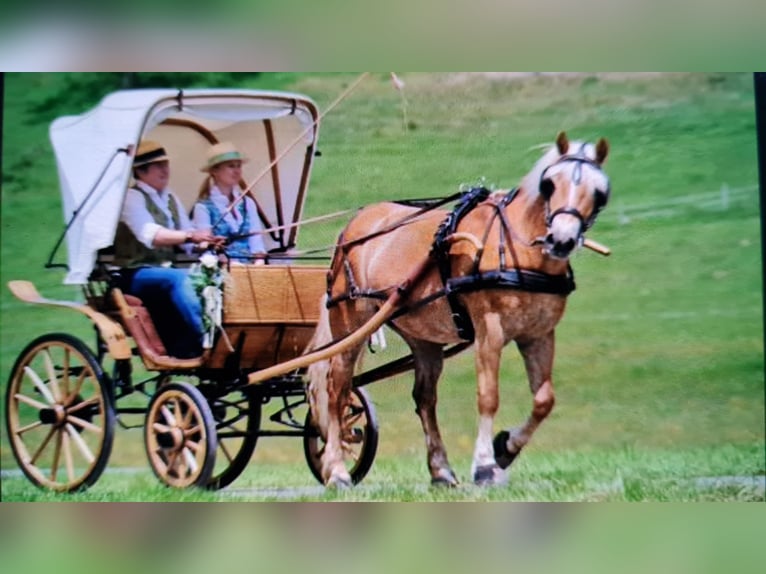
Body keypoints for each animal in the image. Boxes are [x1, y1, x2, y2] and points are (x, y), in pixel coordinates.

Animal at [306, 133, 612, 488]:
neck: (517, 247)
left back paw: (440, 470)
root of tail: (352, 227)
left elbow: (544, 400)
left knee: (424, 398)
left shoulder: (539, 335)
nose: (561, 240)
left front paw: (505, 448)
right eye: (549, 184)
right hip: (351, 324)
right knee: (336, 391)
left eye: (600, 192)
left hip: (422, 336)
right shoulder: (490, 330)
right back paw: (337, 471)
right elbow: (488, 396)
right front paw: (485, 466)